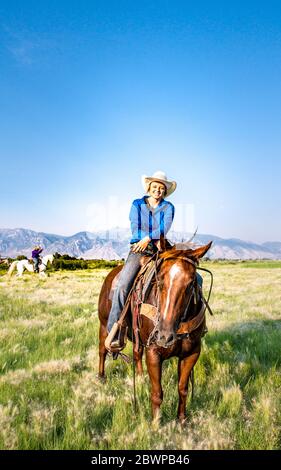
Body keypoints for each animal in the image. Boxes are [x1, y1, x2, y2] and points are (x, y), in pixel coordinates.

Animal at [97, 242, 211, 422]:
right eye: (159, 280)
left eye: (191, 282)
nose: (164, 336)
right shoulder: (153, 352)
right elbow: (157, 393)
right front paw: (156, 424)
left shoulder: (192, 352)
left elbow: (182, 388)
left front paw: (181, 420)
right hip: (103, 325)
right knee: (103, 349)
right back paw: (101, 377)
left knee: (137, 352)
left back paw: (140, 377)